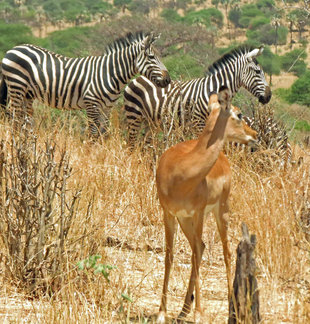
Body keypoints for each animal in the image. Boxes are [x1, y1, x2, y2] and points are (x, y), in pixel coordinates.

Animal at [0, 31, 171, 135]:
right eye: (151, 57)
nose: (168, 80)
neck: (109, 73)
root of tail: (13, 49)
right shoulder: (91, 104)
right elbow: (93, 133)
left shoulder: (107, 107)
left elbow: (103, 133)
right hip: (16, 87)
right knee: (15, 117)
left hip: (27, 94)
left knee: (24, 119)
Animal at [123, 45, 272, 147]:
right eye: (257, 72)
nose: (269, 96)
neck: (213, 91)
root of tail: (137, 78)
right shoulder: (198, 123)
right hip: (134, 117)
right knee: (131, 144)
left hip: (150, 123)